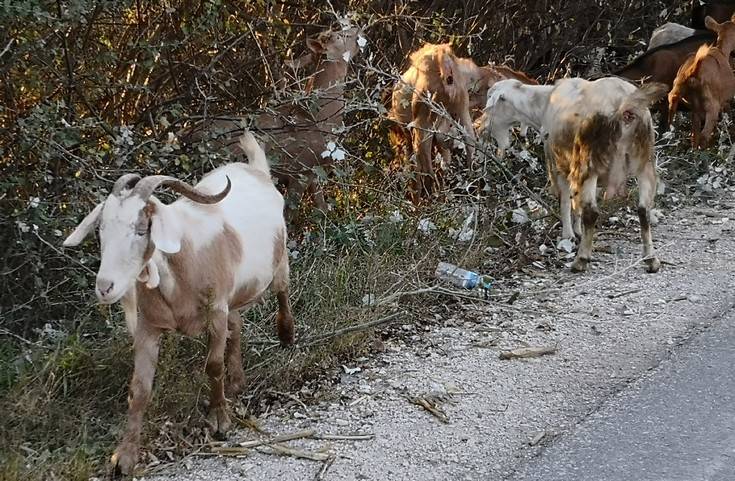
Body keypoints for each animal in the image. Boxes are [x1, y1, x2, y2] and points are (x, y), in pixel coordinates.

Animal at [62, 132, 294, 476]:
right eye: (101, 230)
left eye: (141, 228)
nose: (105, 287)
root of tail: (256, 169)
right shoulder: (148, 325)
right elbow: (140, 388)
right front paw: (124, 456)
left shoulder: (215, 312)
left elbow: (213, 366)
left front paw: (220, 421)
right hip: (233, 295)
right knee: (237, 324)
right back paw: (237, 381)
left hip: (278, 264)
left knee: (282, 292)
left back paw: (286, 336)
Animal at [478, 78, 668, 274]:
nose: (480, 125)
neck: (544, 103)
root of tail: (625, 105)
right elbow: (576, 203)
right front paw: (578, 231)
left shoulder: (557, 164)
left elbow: (565, 201)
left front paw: (568, 235)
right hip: (645, 162)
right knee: (643, 210)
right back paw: (651, 259)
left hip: (588, 162)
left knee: (592, 211)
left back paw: (581, 260)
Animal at [668, 14, 735, 146]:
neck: (722, 51)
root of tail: (692, 74)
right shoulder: (725, 100)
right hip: (711, 106)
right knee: (703, 136)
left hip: (690, 105)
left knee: (694, 137)